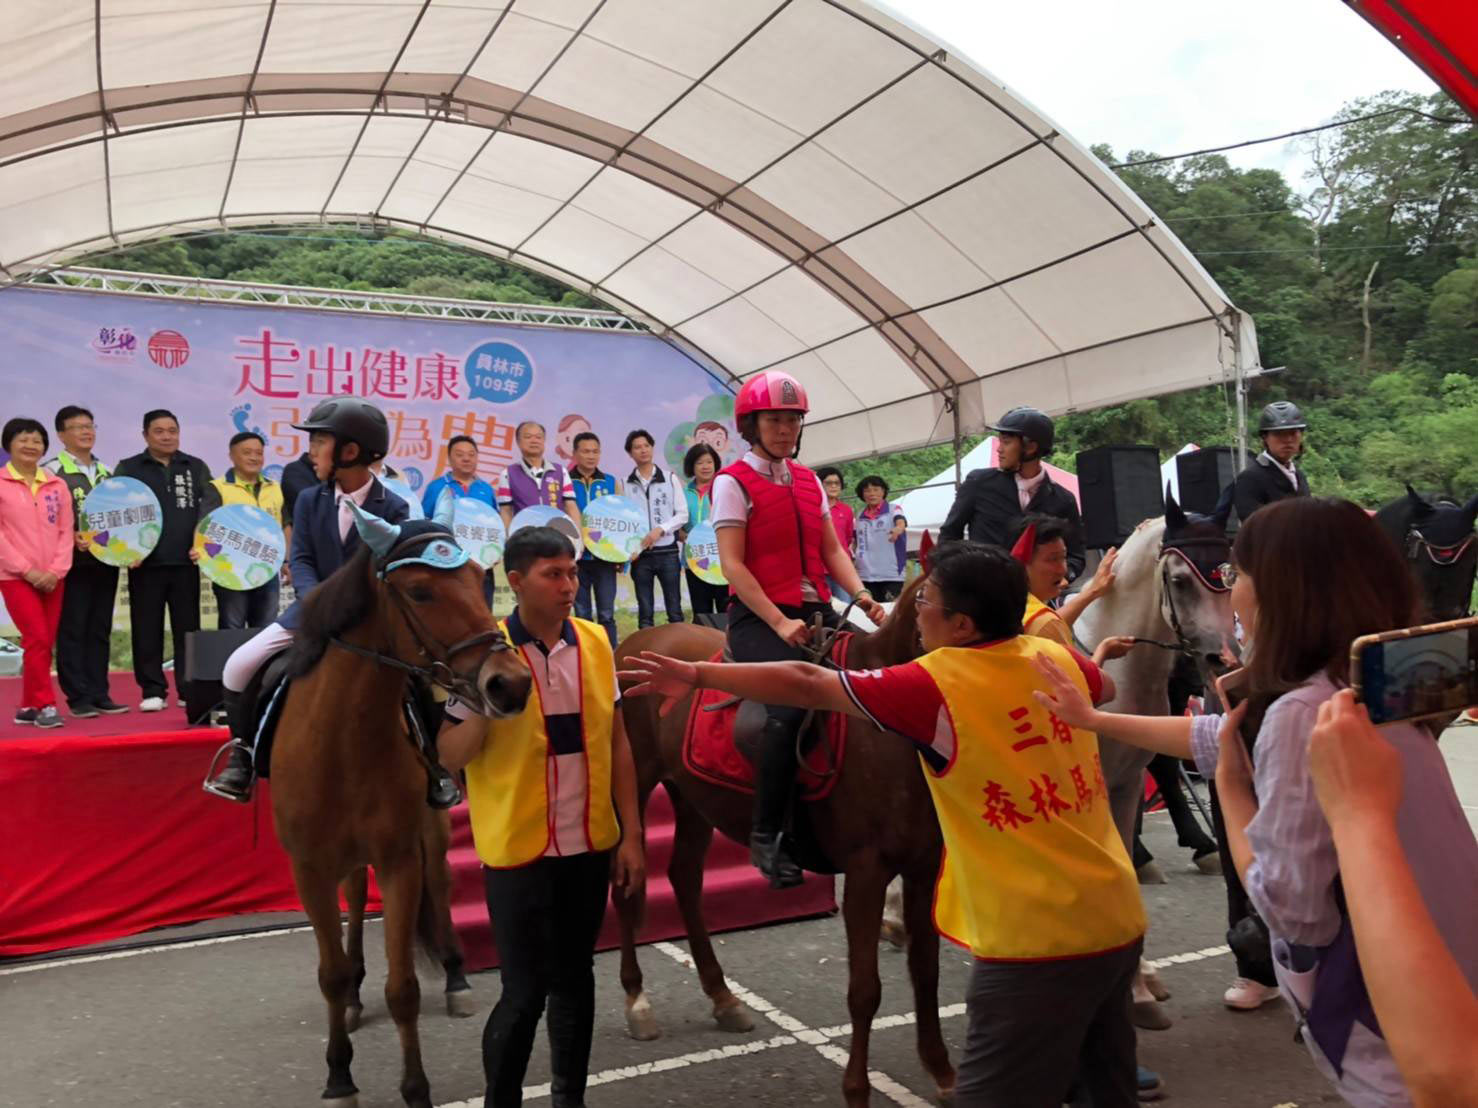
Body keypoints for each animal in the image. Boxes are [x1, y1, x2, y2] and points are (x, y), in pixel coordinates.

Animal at [270, 520, 532, 1108]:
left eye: (479, 577)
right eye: (420, 591)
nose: (510, 682)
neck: (344, 737)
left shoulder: (398, 859)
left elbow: (403, 989)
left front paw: (416, 1089)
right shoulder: (308, 867)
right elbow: (330, 975)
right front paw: (339, 1076)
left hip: (430, 829)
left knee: (438, 880)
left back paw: (456, 979)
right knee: (352, 901)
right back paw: (353, 996)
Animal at [605, 582, 951, 1108]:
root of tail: (637, 643)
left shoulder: (924, 867)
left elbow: (926, 969)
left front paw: (941, 1072)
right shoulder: (866, 872)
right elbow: (864, 990)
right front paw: (857, 1089)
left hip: (692, 796)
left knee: (684, 878)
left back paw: (722, 996)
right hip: (636, 786)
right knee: (628, 884)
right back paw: (637, 999)